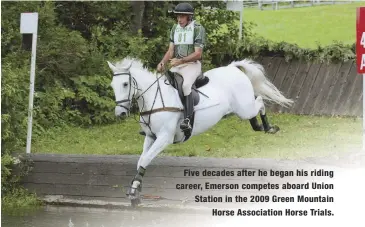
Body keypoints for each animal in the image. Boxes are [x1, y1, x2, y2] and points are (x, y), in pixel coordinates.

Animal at [106, 56, 292, 206]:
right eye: (112, 85)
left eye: (125, 84)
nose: (120, 113)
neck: (154, 98)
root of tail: (232, 68)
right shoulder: (151, 137)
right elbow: (141, 161)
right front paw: (136, 191)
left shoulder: (164, 138)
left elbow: (145, 159)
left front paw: (134, 193)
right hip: (242, 108)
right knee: (255, 109)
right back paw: (260, 126)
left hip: (245, 108)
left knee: (260, 102)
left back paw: (269, 127)